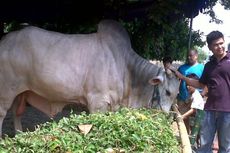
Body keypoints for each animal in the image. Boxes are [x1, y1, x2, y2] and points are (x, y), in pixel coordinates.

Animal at [0, 19, 180, 136]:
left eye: (177, 94)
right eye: (168, 92)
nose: (166, 116)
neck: (126, 69)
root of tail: (4, 41)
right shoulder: (97, 102)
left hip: (20, 93)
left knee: (17, 114)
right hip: (6, 92)